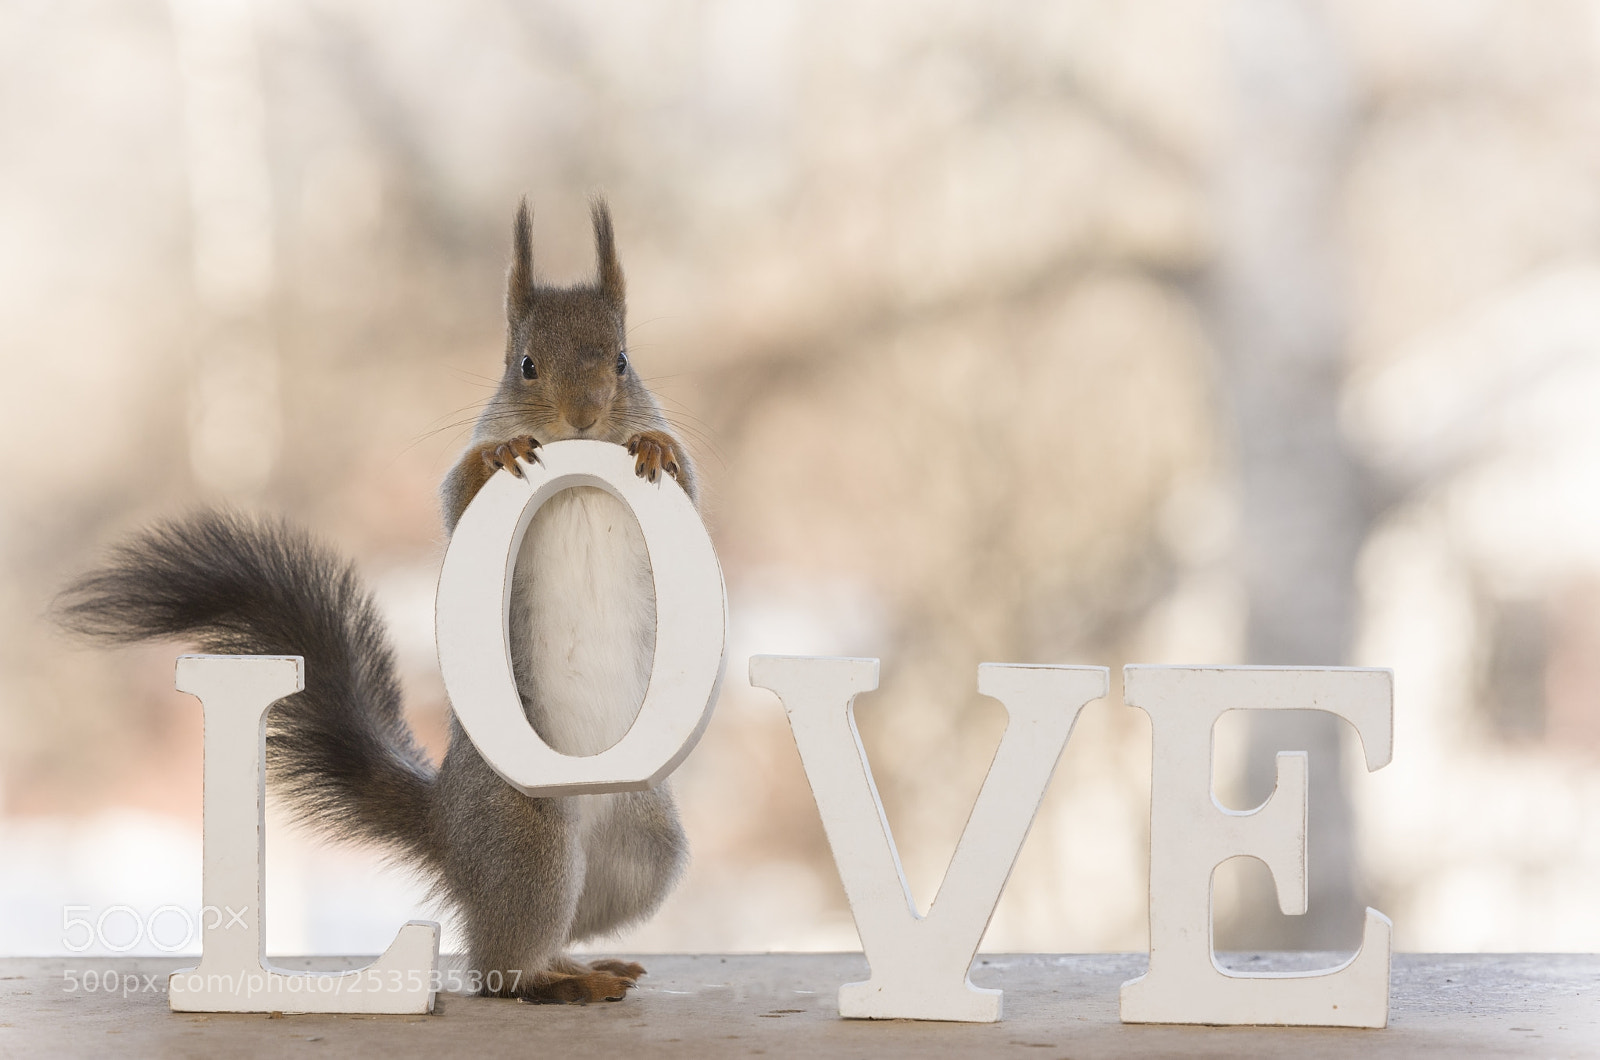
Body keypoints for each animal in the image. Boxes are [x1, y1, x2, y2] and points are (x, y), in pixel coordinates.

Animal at [56, 199, 697, 1004]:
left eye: (621, 360)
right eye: (524, 364)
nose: (584, 416)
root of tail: (451, 830)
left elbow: (686, 485)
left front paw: (654, 446)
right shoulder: (464, 507)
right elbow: (461, 495)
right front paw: (499, 456)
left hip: (646, 847)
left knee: (560, 925)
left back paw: (584, 963)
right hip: (530, 836)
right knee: (496, 966)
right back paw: (553, 981)